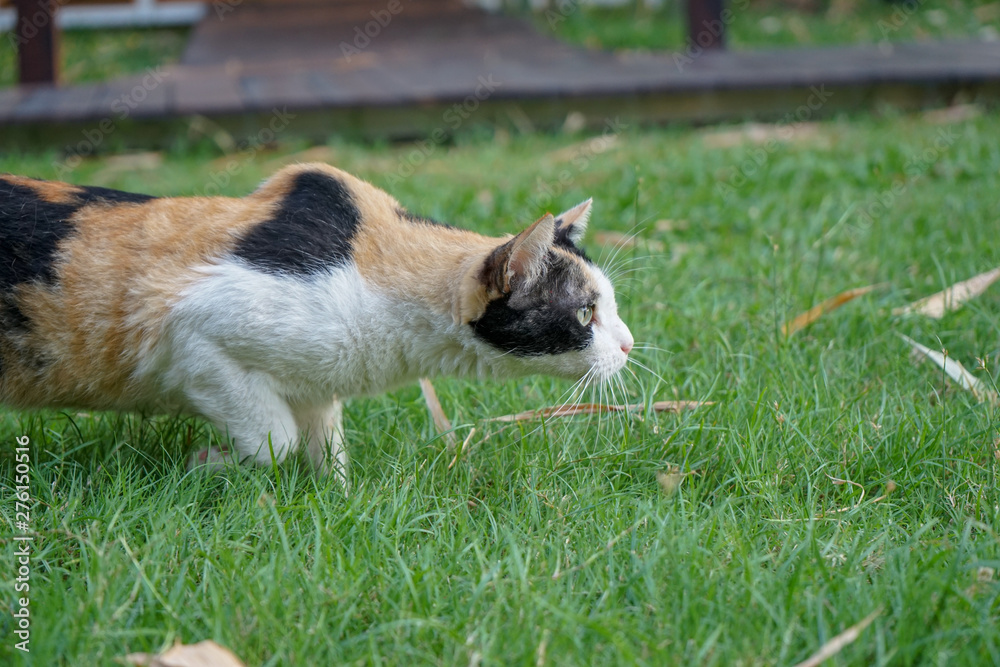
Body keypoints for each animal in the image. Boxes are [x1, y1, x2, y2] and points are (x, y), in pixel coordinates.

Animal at [0, 162, 632, 486]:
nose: (628, 344)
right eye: (585, 313)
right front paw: (207, 464)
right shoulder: (191, 334)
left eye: (613, 307)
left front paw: (337, 503)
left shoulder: (317, 383)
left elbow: (327, 446)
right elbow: (275, 441)